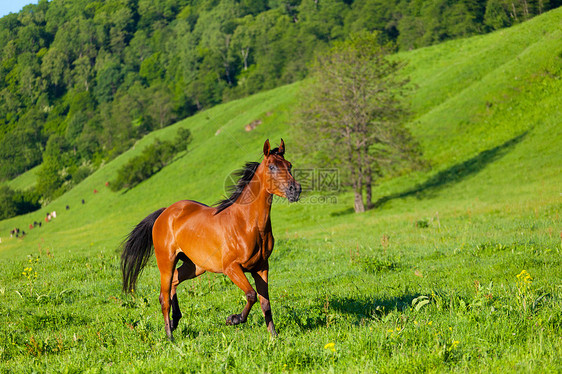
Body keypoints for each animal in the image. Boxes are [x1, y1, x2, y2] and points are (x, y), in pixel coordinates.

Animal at [120, 139, 300, 340]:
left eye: (289, 165)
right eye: (271, 167)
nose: (295, 191)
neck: (247, 223)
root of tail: (164, 213)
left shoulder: (261, 267)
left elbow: (265, 303)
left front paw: (274, 336)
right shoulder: (231, 268)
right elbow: (251, 295)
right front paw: (233, 319)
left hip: (194, 266)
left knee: (174, 282)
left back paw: (176, 321)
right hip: (166, 262)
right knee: (163, 297)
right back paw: (170, 336)